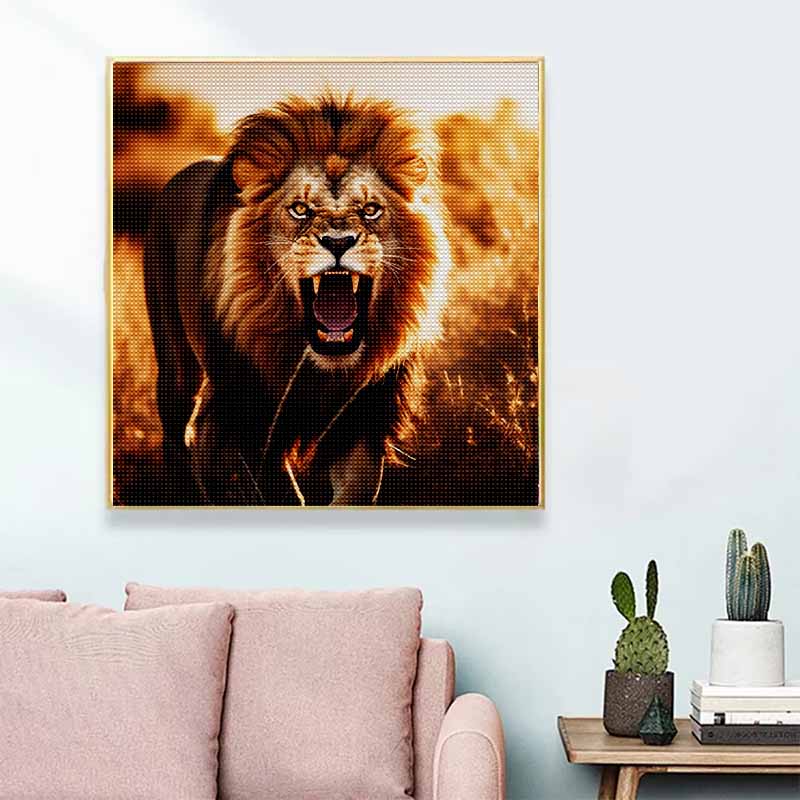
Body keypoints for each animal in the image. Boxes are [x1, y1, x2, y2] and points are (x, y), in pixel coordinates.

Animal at [143, 94, 450, 505]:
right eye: (300, 209)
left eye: (371, 210)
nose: (338, 241)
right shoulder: (249, 415)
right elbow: (276, 491)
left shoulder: (365, 414)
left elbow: (358, 490)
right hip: (178, 364)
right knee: (178, 429)